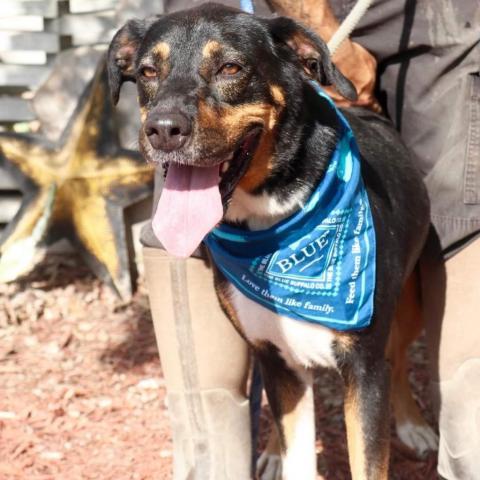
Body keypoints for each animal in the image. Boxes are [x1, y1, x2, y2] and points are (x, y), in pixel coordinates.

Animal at [109, 2, 438, 476]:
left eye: (230, 67)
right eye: (148, 71)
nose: (163, 129)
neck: (275, 224)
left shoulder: (363, 365)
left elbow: (368, 456)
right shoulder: (276, 357)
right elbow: (295, 448)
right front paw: (280, 454)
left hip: (408, 306)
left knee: (398, 361)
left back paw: (413, 424)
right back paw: (270, 453)